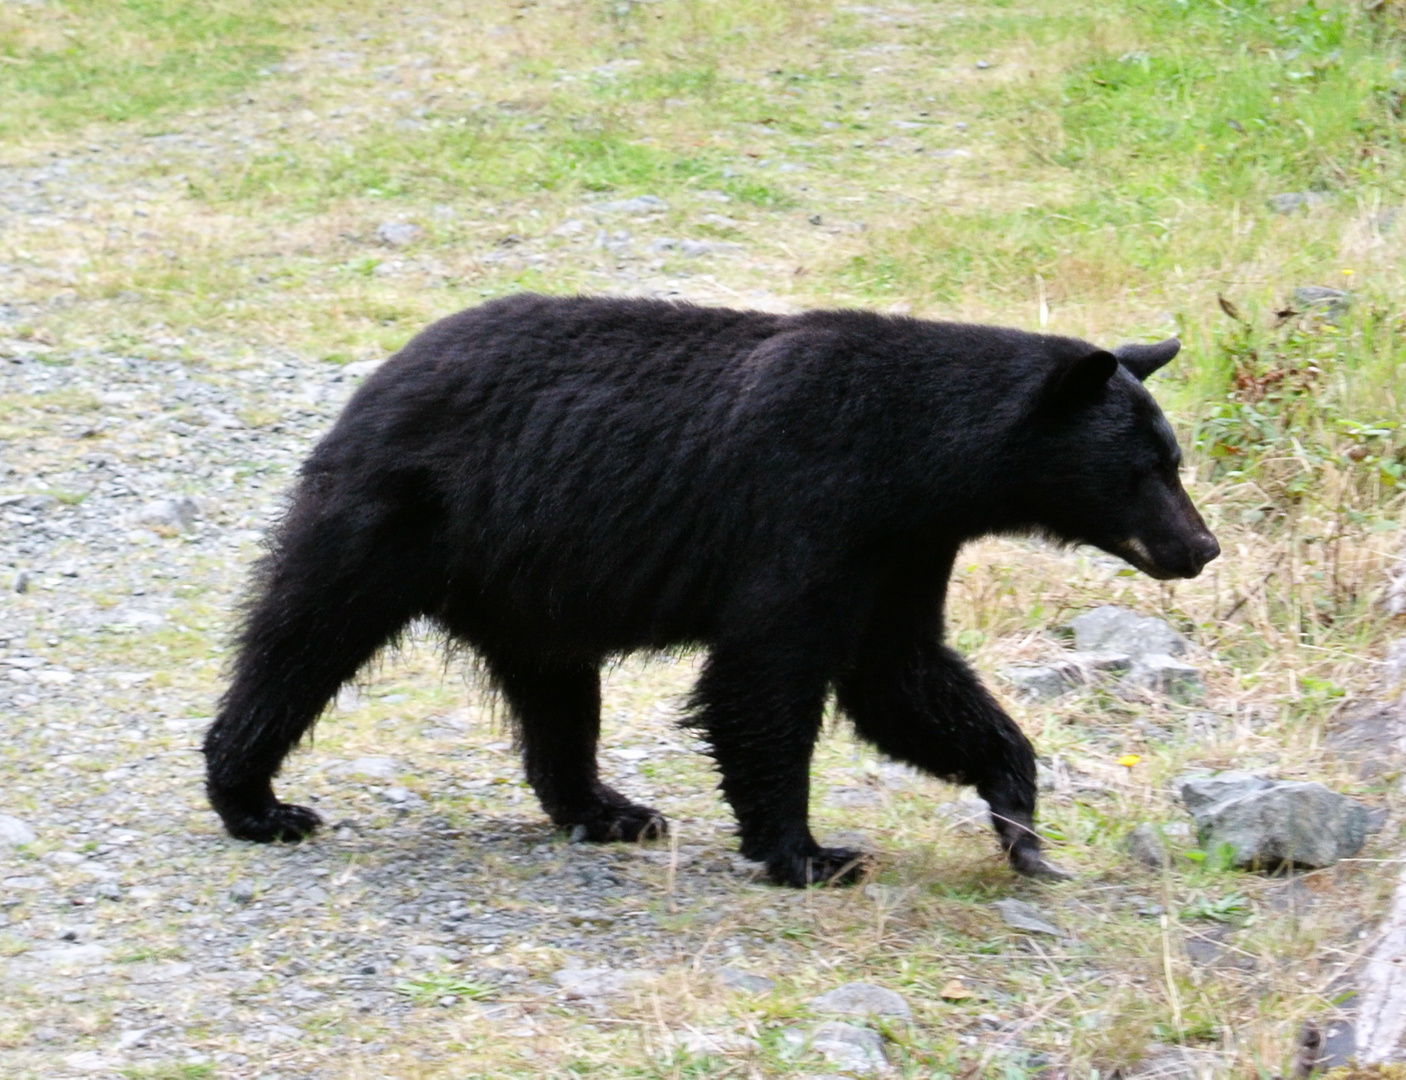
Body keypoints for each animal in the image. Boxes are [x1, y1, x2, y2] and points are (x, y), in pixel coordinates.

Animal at [205, 292, 1220, 888]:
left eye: (1174, 459)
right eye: (1147, 468)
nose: (1201, 547)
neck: (917, 456)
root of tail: (378, 379)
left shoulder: (903, 548)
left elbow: (902, 675)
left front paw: (1022, 829)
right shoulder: (810, 511)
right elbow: (766, 680)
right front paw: (809, 853)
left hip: (531, 585)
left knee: (556, 696)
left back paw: (610, 810)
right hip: (398, 518)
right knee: (303, 638)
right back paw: (255, 799)